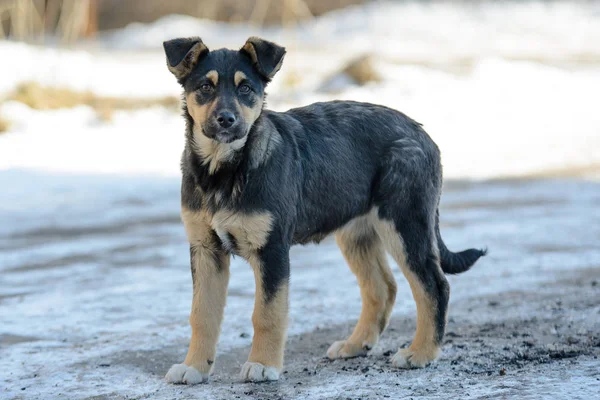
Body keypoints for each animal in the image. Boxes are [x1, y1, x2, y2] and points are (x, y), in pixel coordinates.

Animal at [162, 37, 486, 384]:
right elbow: (202, 314)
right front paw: (194, 367)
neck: (223, 170)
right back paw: (356, 344)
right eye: (205, 87)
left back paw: (421, 353)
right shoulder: (205, 249)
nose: (226, 120)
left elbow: (266, 314)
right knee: (382, 288)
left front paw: (262, 364)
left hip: (405, 223)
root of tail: (422, 132)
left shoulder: (272, 249)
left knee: (435, 286)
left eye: (246, 88)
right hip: (357, 232)